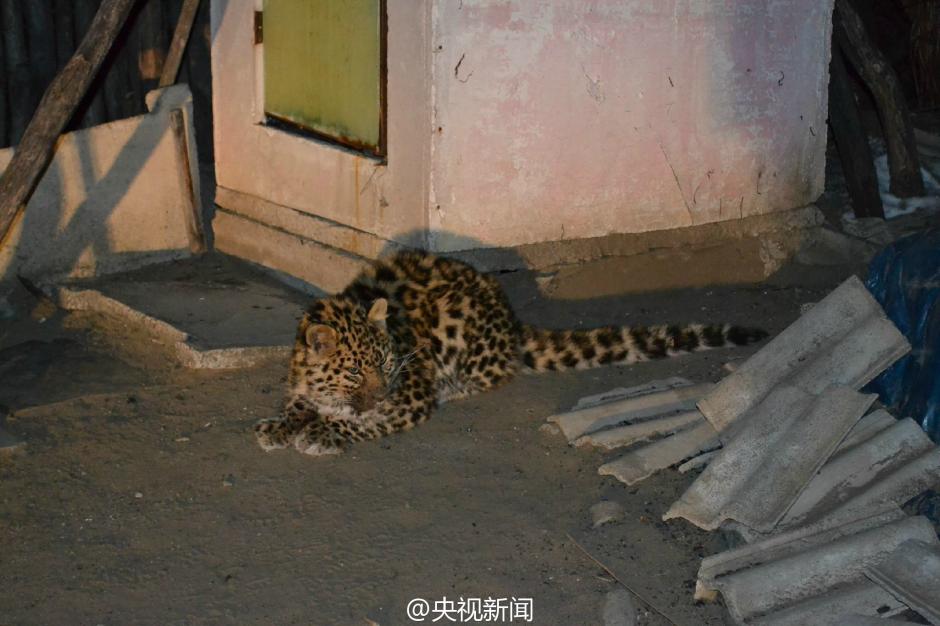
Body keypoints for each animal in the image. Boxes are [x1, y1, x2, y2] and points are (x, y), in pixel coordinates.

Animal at [255, 250, 767, 456]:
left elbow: (358, 421)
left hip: (460, 331)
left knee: (493, 375)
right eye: (355, 373)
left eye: (385, 364)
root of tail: (511, 320)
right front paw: (281, 425)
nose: (382, 394)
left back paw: (454, 388)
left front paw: (322, 432)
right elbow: (299, 403)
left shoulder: (410, 395)